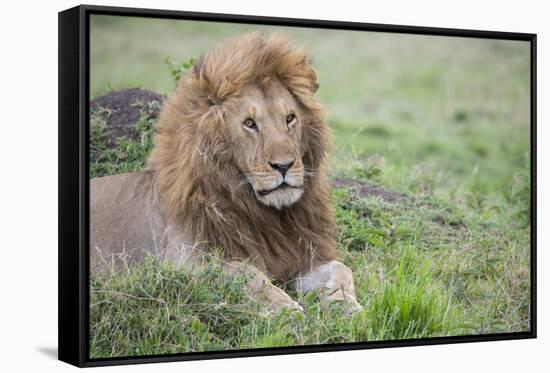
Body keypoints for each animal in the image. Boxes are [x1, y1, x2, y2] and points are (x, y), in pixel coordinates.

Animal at [92, 32, 364, 314]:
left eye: (290, 118)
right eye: (249, 124)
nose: (284, 165)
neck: (267, 216)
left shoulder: (304, 255)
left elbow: (342, 269)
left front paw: (346, 305)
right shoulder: (182, 262)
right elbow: (248, 274)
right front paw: (287, 309)